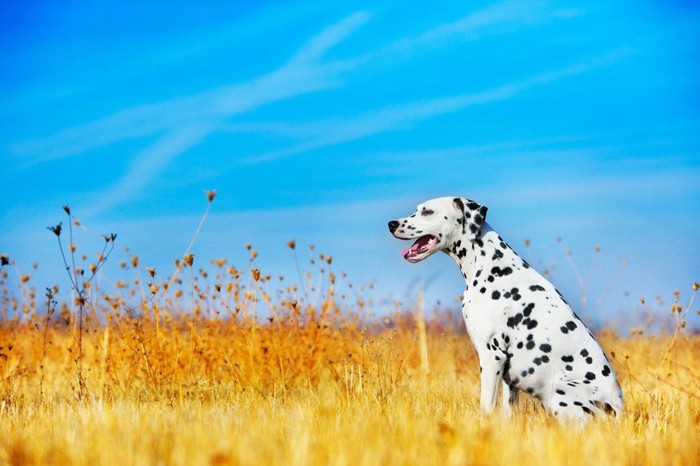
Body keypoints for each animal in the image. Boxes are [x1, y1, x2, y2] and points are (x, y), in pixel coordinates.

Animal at [388, 195, 624, 424]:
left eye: (427, 211)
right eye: (418, 209)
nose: (391, 224)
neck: (492, 267)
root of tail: (619, 414)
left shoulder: (492, 357)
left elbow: (486, 406)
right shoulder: (508, 375)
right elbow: (509, 409)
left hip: (558, 390)